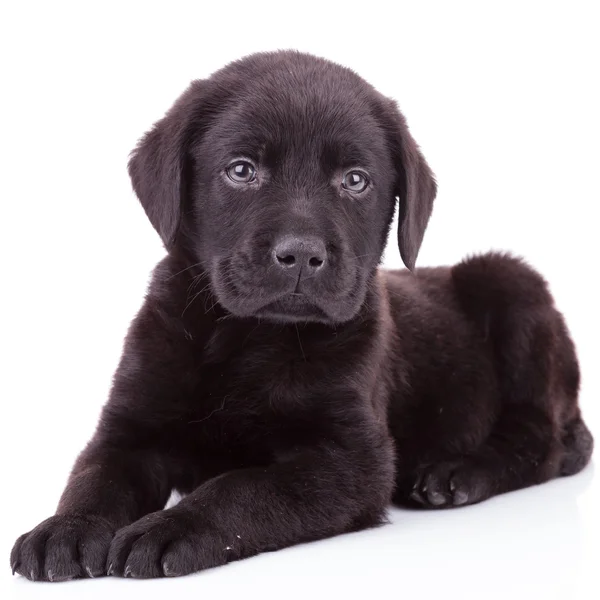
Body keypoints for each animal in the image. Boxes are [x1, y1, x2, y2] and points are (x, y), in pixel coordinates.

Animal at [11, 50, 592, 580]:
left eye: (355, 180)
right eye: (241, 170)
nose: (301, 254)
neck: (246, 337)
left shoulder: (350, 459)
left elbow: (241, 487)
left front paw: (170, 527)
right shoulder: (131, 426)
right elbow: (95, 476)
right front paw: (64, 529)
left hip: (509, 283)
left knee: (539, 440)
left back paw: (456, 473)